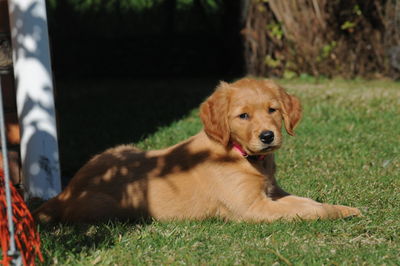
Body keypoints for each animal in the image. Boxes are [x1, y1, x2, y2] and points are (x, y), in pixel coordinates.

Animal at [33, 78, 360, 223]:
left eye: (273, 110)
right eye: (243, 116)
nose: (268, 136)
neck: (242, 155)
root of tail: (65, 192)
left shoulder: (272, 193)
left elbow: (306, 201)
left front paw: (345, 208)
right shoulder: (253, 208)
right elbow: (307, 209)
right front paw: (338, 213)